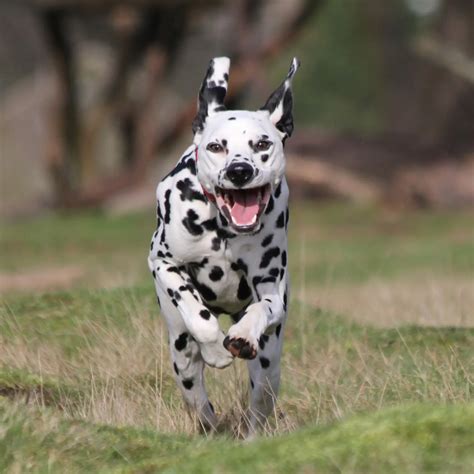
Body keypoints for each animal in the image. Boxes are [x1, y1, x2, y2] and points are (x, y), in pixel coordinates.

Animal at [148, 57, 298, 436]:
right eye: (217, 147)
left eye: (263, 144)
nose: (240, 171)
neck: (223, 230)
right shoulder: (162, 263)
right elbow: (198, 315)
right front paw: (216, 350)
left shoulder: (270, 288)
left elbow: (263, 309)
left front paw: (241, 335)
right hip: (181, 356)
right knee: (198, 398)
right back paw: (209, 426)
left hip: (269, 367)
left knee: (260, 403)